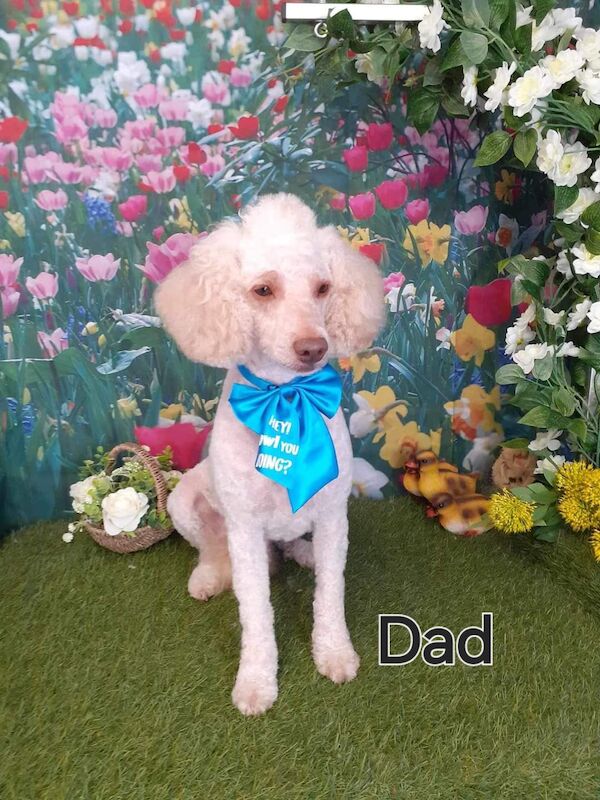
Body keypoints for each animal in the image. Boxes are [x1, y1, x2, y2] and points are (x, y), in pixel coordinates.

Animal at [155, 192, 384, 712]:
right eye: (263, 290)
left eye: (323, 288)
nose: (313, 347)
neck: (285, 396)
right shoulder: (243, 525)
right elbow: (255, 613)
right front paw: (256, 682)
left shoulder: (333, 513)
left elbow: (331, 593)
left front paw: (334, 653)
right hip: (183, 502)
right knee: (213, 550)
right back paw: (208, 578)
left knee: (299, 550)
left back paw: (303, 554)